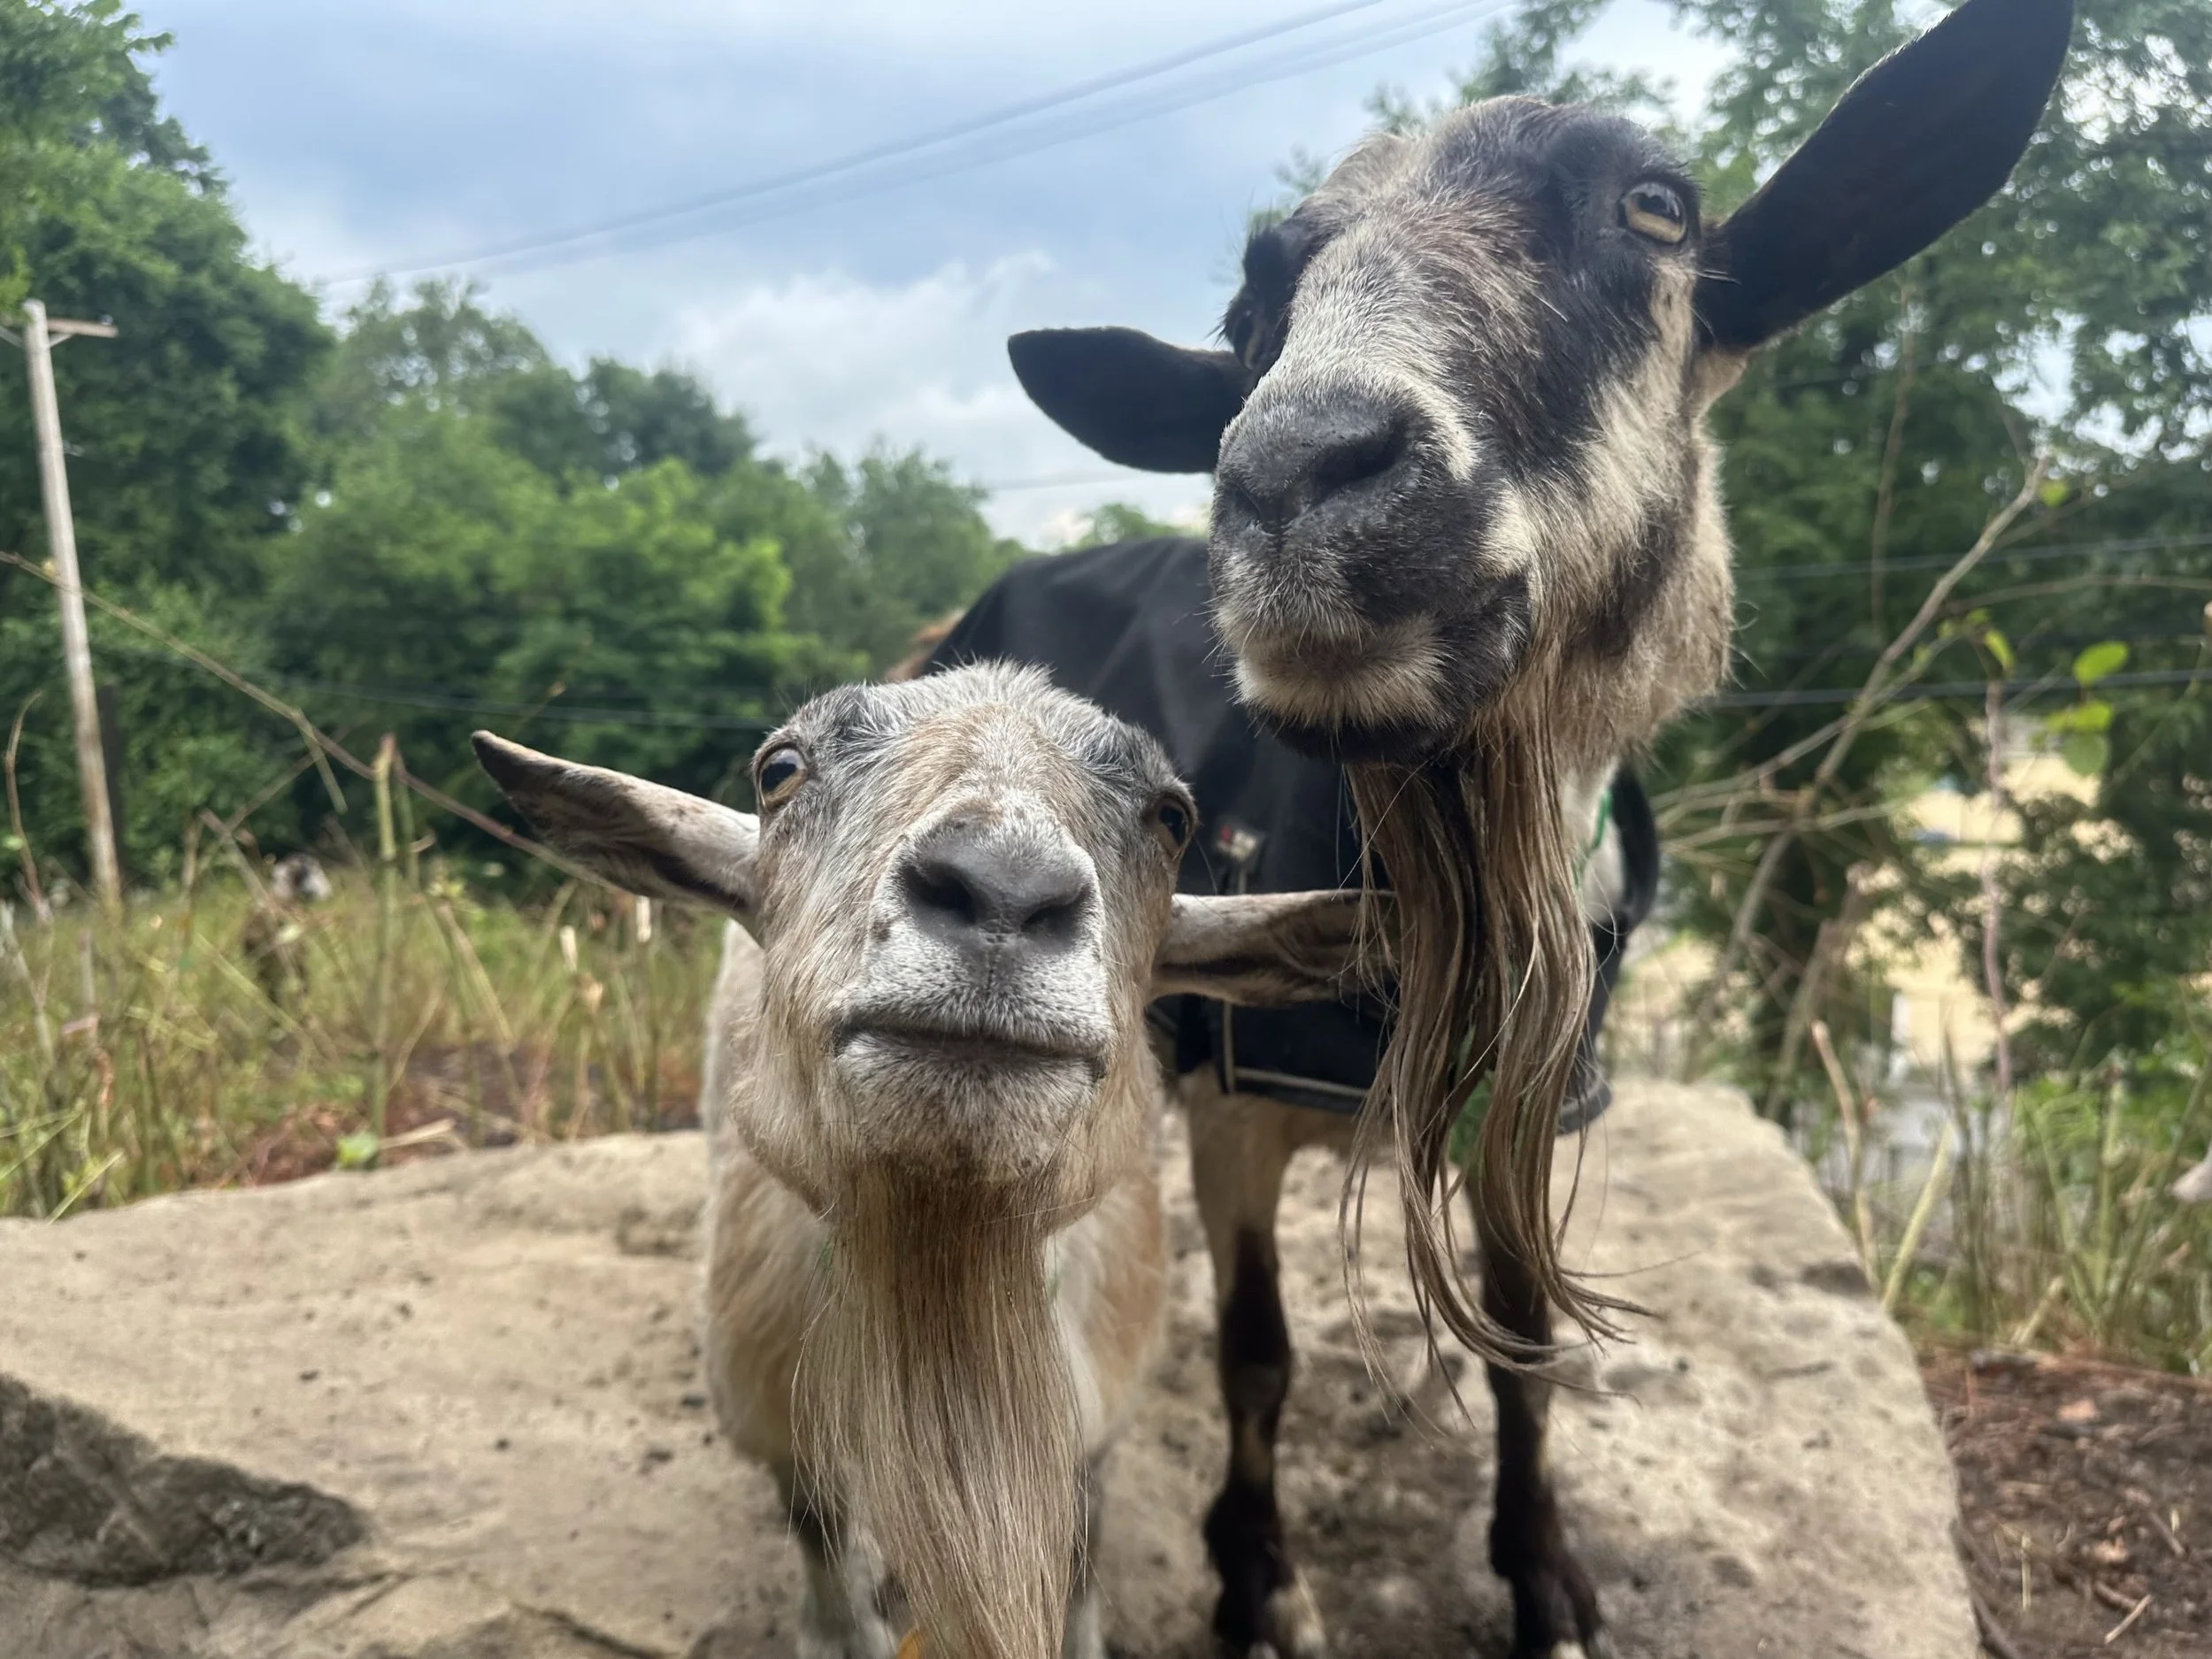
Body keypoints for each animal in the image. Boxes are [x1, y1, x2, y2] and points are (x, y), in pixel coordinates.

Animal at [472, 663, 1370, 1659]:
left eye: (1172, 818)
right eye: (779, 768)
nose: (1005, 892)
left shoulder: (1088, 1426)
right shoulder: (782, 1432)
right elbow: (831, 1581)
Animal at [973, 1, 2075, 1651]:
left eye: (1658, 206)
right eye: (1248, 306)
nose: (1295, 472)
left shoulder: (1539, 1098)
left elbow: (1525, 1337)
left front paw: (1546, 1570)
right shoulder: (1238, 1093)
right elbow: (1258, 1350)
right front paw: (1255, 1578)